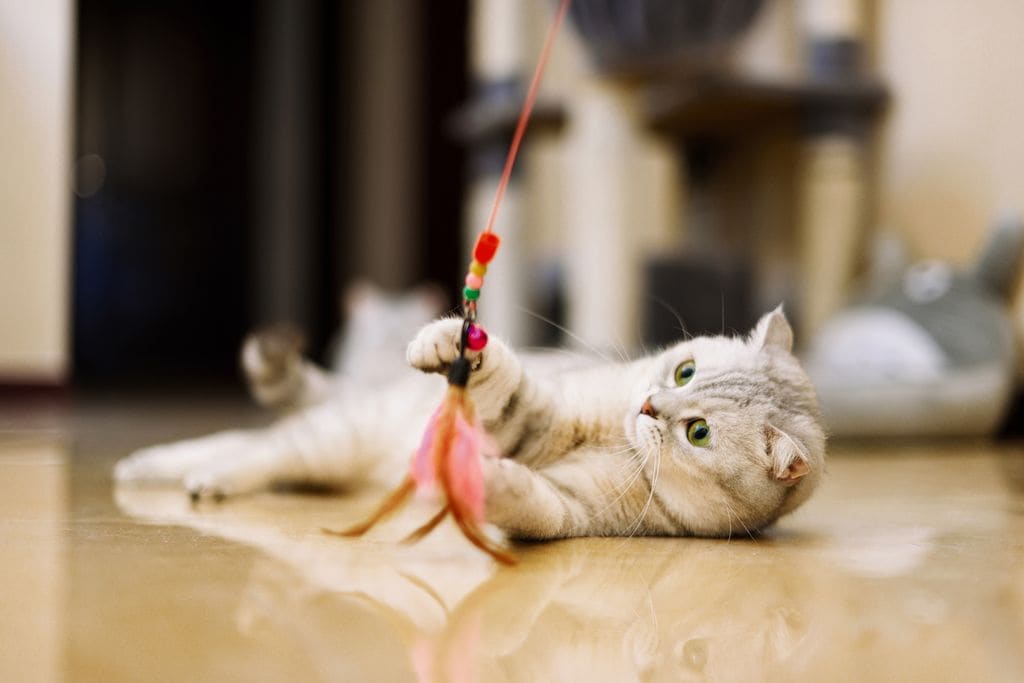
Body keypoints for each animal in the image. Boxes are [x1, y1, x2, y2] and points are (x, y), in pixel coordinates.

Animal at [116, 309, 827, 540]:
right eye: (683, 371)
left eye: (698, 432)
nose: (650, 406)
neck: (617, 436)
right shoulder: (540, 412)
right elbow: (507, 387)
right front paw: (455, 343)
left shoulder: (569, 508)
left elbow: (533, 502)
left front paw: (491, 482)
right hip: (331, 439)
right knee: (252, 446)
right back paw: (160, 469)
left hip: (330, 451)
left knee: (254, 447)